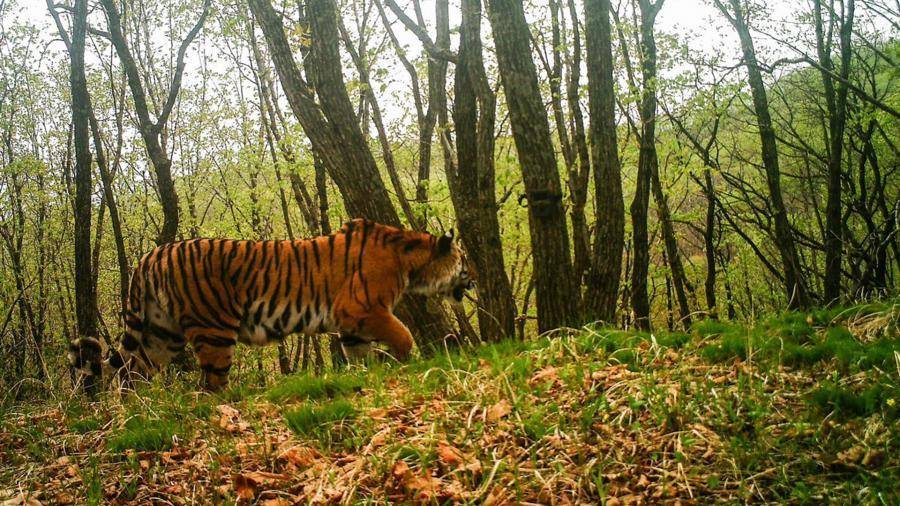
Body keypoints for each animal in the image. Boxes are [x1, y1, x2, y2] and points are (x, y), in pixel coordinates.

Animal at [69, 219, 473, 391]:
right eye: (463, 261)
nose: (473, 280)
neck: (410, 259)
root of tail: (151, 254)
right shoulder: (361, 310)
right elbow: (403, 335)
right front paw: (408, 364)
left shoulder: (352, 325)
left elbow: (360, 355)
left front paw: (368, 377)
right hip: (214, 330)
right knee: (210, 385)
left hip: (160, 333)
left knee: (131, 372)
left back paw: (140, 413)